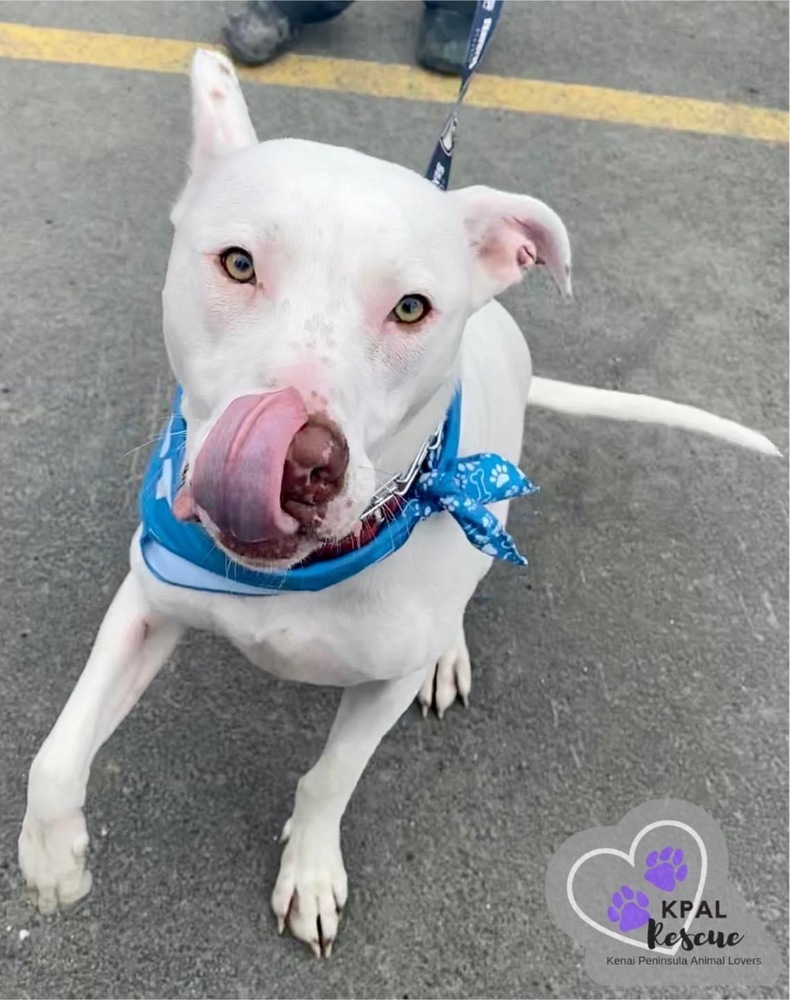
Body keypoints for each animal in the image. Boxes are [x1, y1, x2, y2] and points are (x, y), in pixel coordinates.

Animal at [17, 50, 780, 956]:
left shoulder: (380, 685)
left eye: (411, 308)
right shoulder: (149, 596)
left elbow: (329, 778)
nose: (298, 462)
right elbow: (57, 753)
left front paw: (311, 872)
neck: (301, 572)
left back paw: (449, 651)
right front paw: (52, 859)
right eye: (237, 263)